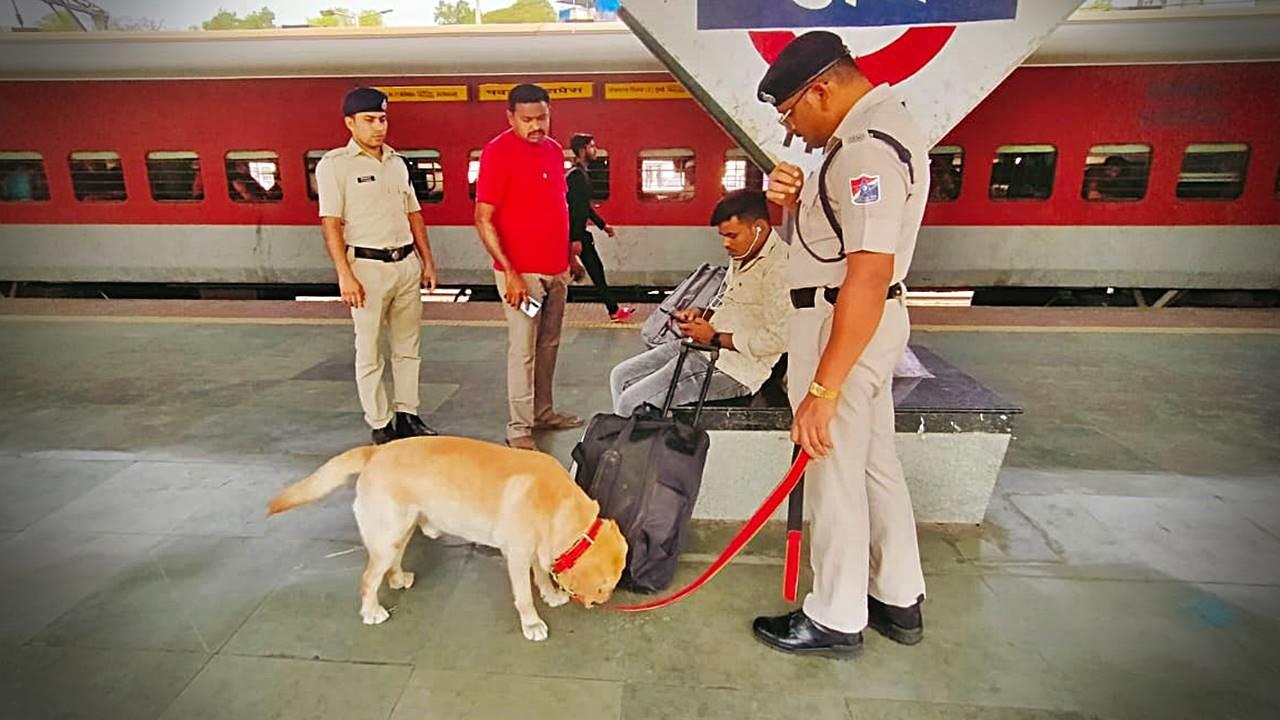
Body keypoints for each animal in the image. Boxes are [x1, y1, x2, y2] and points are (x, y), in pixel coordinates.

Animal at [267, 430, 627, 638]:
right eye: (605, 586)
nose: (606, 601)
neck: (557, 502)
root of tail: (375, 452)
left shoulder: (537, 549)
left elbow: (540, 575)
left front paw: (551, 595)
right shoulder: (517, 554)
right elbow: (525, 594)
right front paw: (532, 623)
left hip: (403, 528)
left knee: (392, 564)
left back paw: (399, 579)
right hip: (387, 534)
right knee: (369, 578)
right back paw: (371, 612)